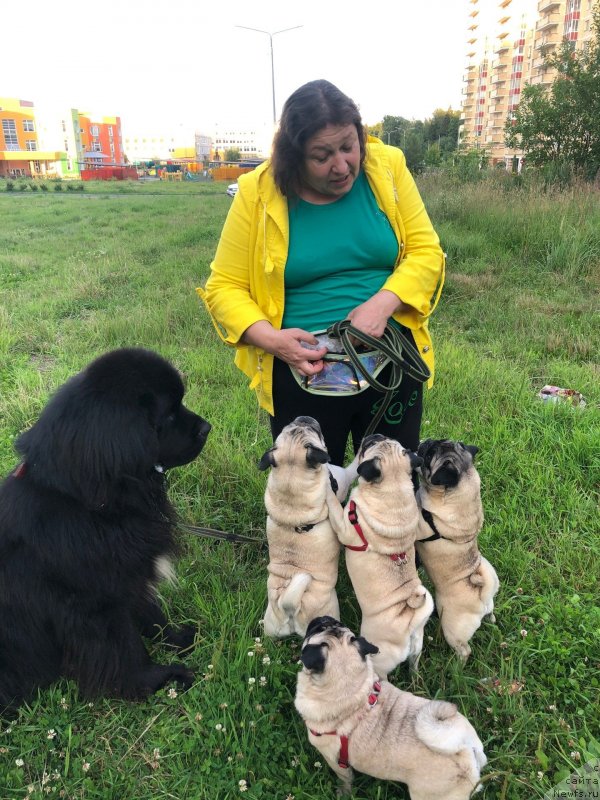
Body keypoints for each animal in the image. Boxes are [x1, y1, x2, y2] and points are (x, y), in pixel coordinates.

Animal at [0, 348, 211, 712]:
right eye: (169, 415)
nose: (206, 428)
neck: (87, 504)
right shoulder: (94, 606)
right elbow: (125, 647)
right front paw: (157, 678)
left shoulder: (126, 575)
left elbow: (151, 614)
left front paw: (177, 638)